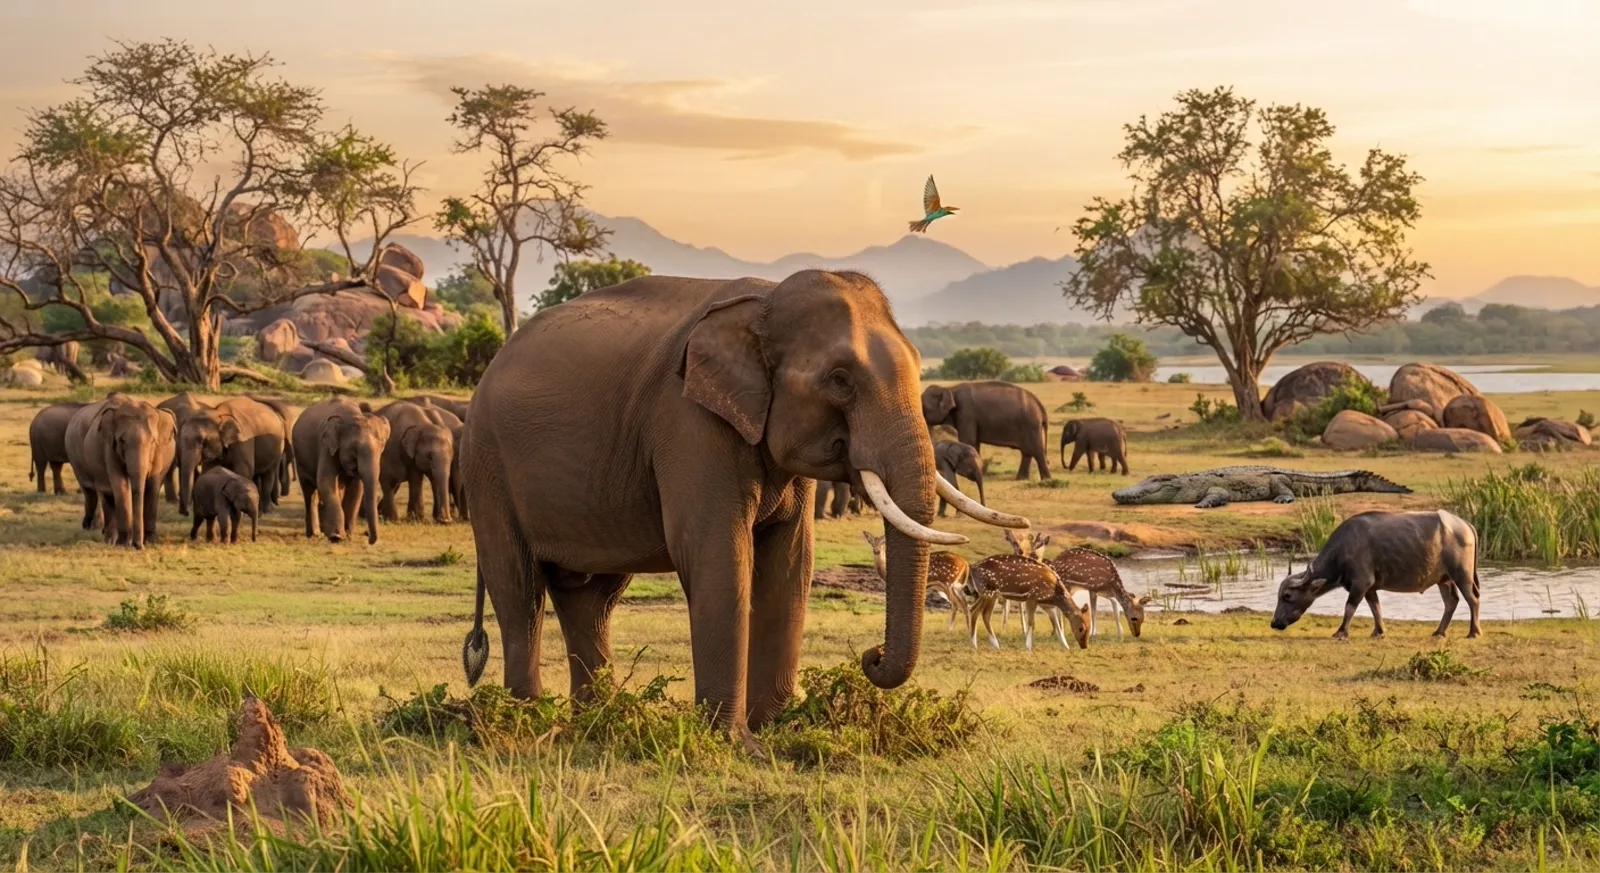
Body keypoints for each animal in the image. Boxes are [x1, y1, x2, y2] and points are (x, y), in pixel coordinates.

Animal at [64, 394, 177, 549]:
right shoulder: (109, 448)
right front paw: (123, 544)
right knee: (97, 491)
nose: (138, 546)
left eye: (152, 442)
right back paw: (108, 539)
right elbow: (120, 485)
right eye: (122, 441)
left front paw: (150, 541)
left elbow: (152, 487)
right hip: (77, 459)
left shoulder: (159, 453)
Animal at [291, 398, 391, 544]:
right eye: (354, 450)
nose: (368, 537)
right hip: (300, 459)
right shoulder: (326, 446)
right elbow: (326, 482)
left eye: (382, 447)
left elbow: (356, 488)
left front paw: (348, 536)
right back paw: (314, 534)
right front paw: (336, 537)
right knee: (310, 491)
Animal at [459, 270, 1027, 751]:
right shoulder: (688, 422)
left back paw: (601, 724)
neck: (765, 300)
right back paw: (526, 722)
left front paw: (779, 729)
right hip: (488, 467)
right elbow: (718, 557)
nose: (872, 656)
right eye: (840, 380)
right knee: (521, 591)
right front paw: (738, 744)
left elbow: (791, 563)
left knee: (591, 598)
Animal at [921, 381, 1052, 480]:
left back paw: (1046, 479)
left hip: (1031, 425)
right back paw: (1021, 479)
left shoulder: (966, 413)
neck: (950, 388)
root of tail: (1040, 406)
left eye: (924, 408)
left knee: (1037, 451)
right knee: (1027, 452)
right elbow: (974, 442)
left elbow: (968, 440)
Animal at [1004, 530, 1154, 639]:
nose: (1137, 634)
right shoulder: (1093, 588)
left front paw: (1119, 634)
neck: (1112, 582)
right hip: (1067, 584)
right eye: (1134, 618)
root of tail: (1055, 562)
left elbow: (1114, 606)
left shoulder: (1104, 591)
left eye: (1143, 618)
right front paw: (1093, 633)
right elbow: (1094, 610)